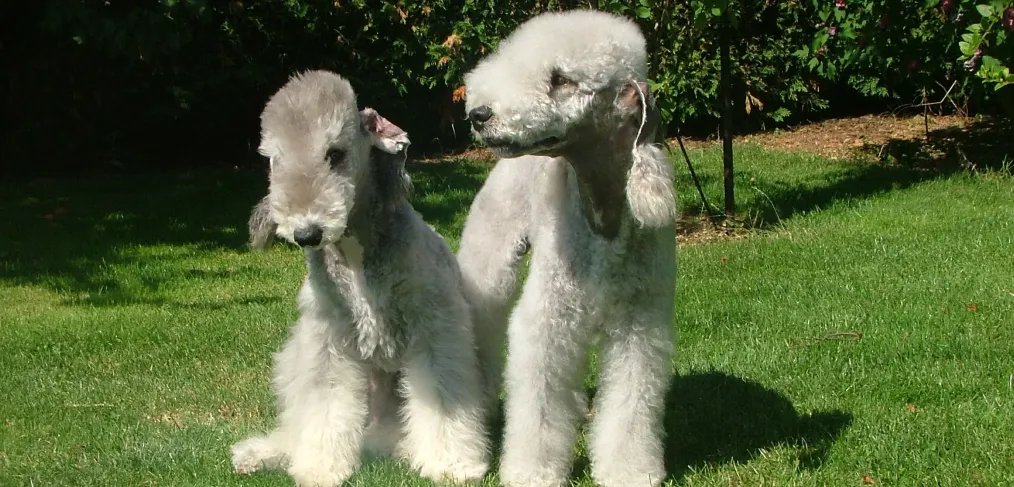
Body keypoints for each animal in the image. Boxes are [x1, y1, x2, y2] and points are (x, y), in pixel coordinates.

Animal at [234, 69, 494, 487]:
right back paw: (261, 453)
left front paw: (452, 463)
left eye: (335, 153)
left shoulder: (435, 327)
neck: (356, 254)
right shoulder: (328, 340)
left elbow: (442, 395)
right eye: (273, 159)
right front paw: (319, 467)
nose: (306, 233)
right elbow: (323, 404)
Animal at [456, 10, 677, 487]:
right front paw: (530, 472)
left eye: (561, 79)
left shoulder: (640, 323)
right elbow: (537, 403)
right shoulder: (548, 319)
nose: (480, 115)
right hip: (489, 262)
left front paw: (630, 470)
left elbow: (632, 403)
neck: (603, 214)